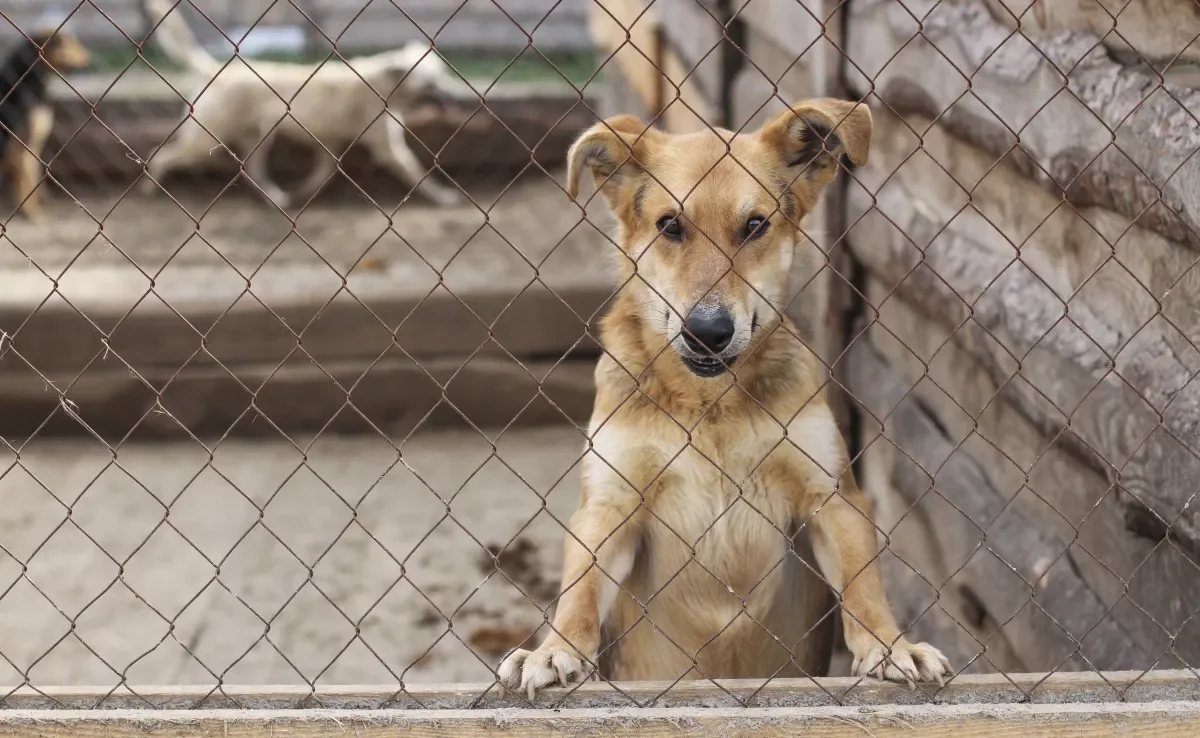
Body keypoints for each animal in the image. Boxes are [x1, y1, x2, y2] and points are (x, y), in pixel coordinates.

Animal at [138, 0, 460, 206]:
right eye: (431, 83)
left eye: (442, 75)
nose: (455, 97)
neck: (385, 85)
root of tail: (217, 69)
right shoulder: (389, 150)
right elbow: (420, 176)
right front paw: (444, 197)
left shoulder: (329, 145)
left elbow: (322, 173)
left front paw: (304, 192)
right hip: (204, 140)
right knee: (160, 156)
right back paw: (150, 188)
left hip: (256, 139)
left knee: (253, 171)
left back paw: (276, 198)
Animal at [494, 99, 945, 700]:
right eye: (669, 225)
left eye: (754, 226)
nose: (707, 332)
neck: (709, 405)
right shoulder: (609, 505)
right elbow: (581, 588)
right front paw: (555, 649)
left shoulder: (831, 497)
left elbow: (861, 582)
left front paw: (890, 646)